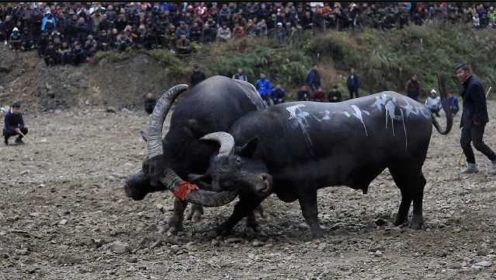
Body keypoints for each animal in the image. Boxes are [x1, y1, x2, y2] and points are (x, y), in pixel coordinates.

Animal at [126, 75, 270, 233]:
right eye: (144, 165)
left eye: (156, 183)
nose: (129, 187)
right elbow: (181, 199)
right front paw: (173, 225)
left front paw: (252, 223)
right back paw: (196, 212)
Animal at [200, 90, 452, 238]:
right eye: (227, 182)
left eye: (238, 161)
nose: (262, 183)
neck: (268, 143)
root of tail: (422, 109)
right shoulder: (263, 187)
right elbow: (242, 207)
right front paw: (221, 229)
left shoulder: (304, 183)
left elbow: (309, 210)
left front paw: (318, 233)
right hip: (396, 165)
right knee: (406, 190)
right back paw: (398, 221)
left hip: (409, 163)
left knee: (417, 186)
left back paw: (416, 222)